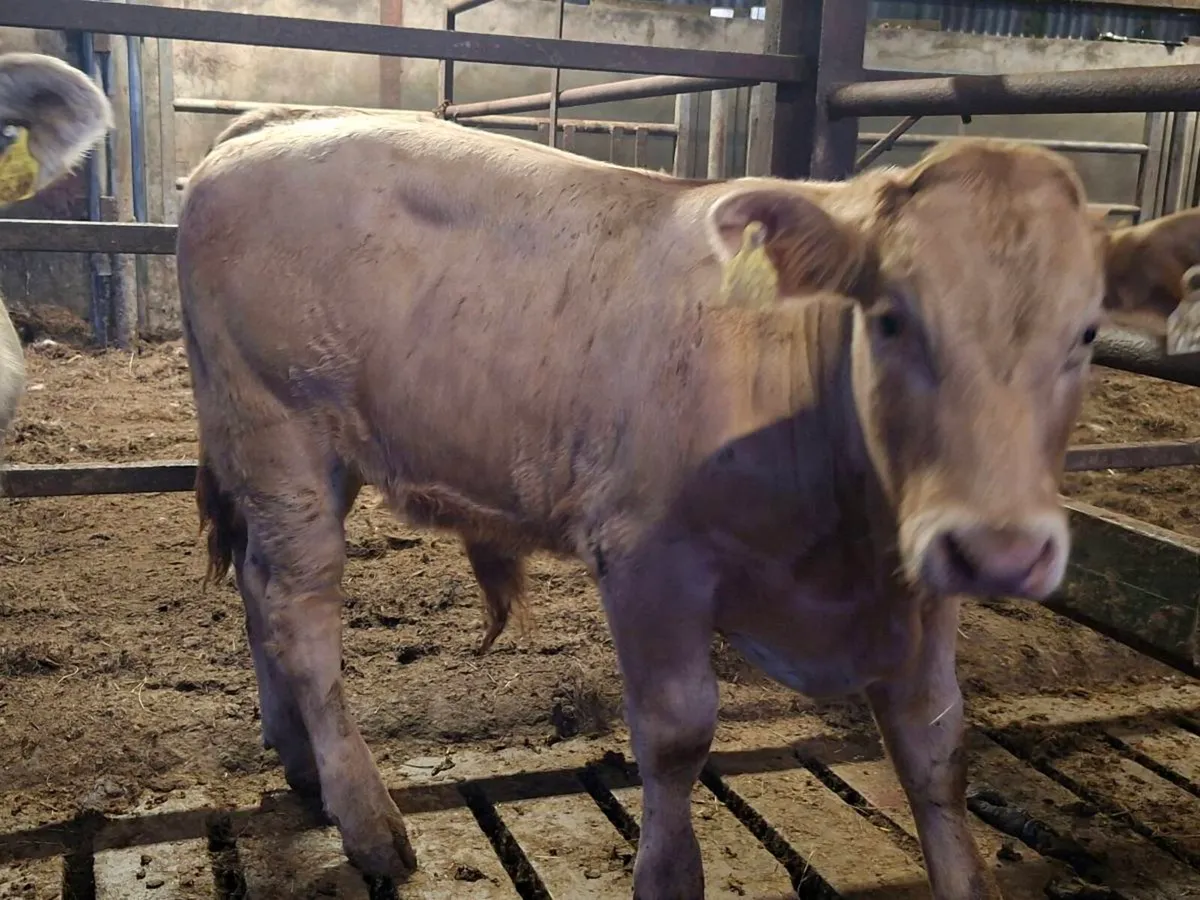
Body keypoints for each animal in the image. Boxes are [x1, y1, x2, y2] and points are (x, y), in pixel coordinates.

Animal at [176, 111, 1200, 899]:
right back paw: (366, 818)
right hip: (278, 430)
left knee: (260, 590)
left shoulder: (920, 584)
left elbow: (937, 748)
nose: (1001, 550)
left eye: (1088, 333)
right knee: (300, 608)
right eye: (891, 316)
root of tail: (266, 127)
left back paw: (299, 759)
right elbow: (676, 737)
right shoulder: (649, 559)